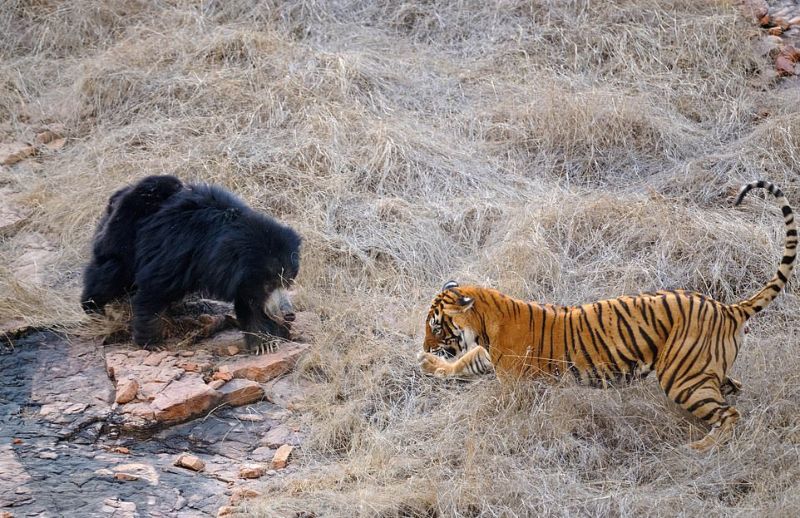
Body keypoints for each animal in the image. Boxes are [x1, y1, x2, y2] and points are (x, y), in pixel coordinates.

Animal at [418, 181, 792, 452]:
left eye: (436, 326)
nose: (424, 346)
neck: (486, 323)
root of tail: (728, 308)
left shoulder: (515, 382)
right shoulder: (486, 354)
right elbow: (464, 362)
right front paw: (430, 364)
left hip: (683, 377)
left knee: (729, 413)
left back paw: (701, 447)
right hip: (702, 371)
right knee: (732, 389)